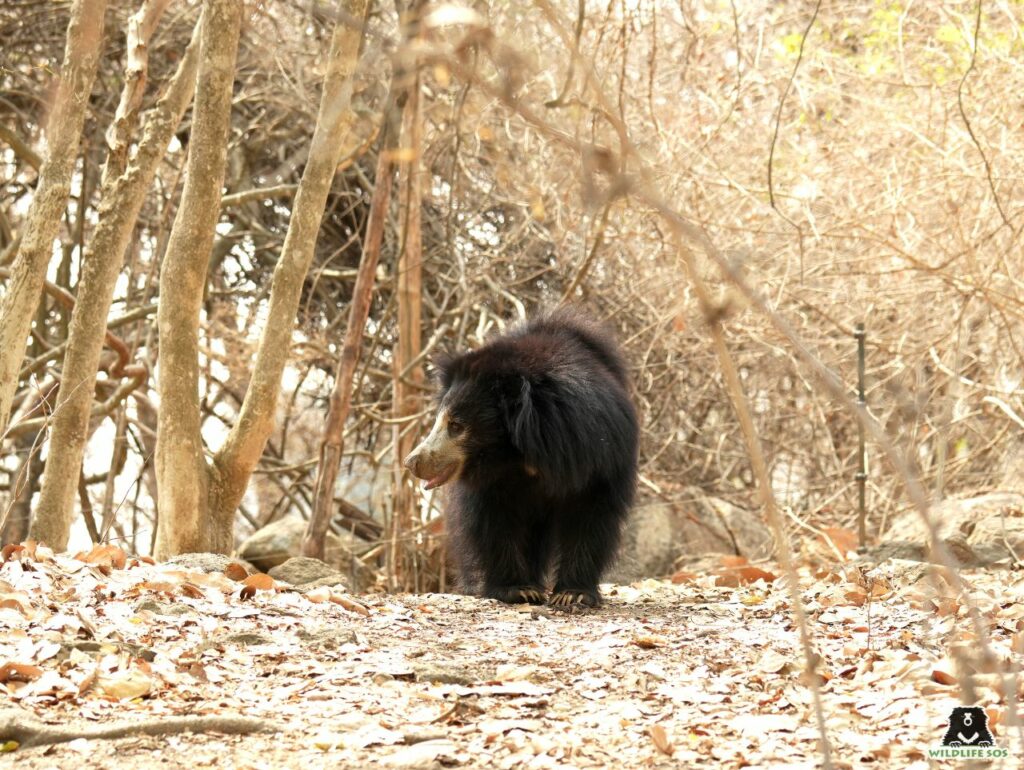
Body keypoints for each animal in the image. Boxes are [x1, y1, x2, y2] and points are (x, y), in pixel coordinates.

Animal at [403, 308, 639, 609]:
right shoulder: (490, 483)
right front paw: (518, 589)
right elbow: (493, 520)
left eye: (456, 426)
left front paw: (572, 593)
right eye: (439, 421)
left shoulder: (599, 458)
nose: (412, 462)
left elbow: (590, 516)